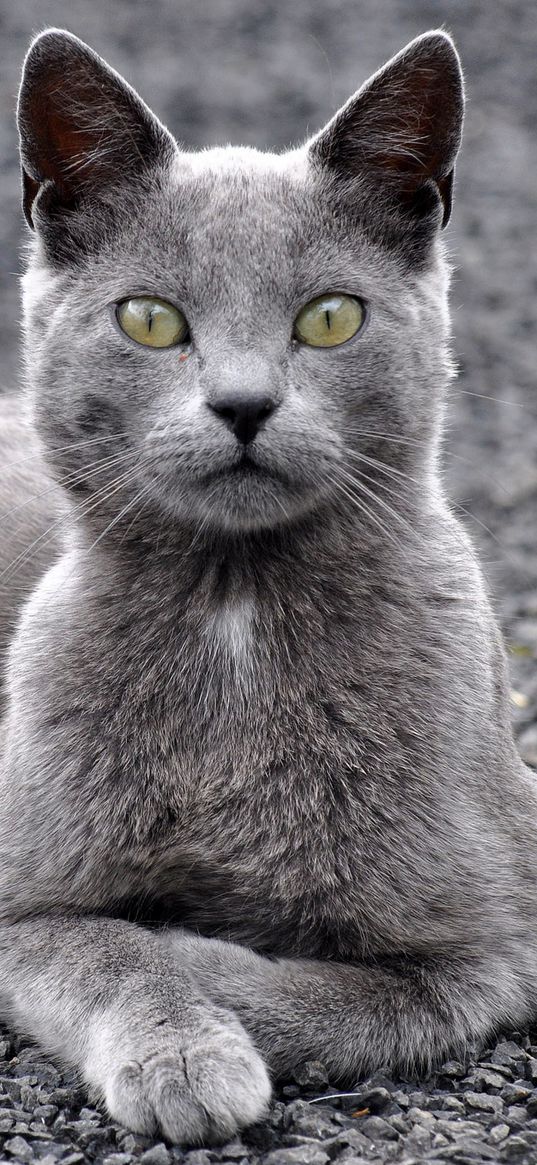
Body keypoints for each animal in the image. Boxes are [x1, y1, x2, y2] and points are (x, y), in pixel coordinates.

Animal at [1, 25, 535, 1146]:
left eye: (330, 318)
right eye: (150, 320)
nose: (242, 403)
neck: (234, 611)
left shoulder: (498, 942)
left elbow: (349, 990)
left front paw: (205, 952)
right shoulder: (18, 897)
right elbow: (102, 943)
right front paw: (182, 1045)